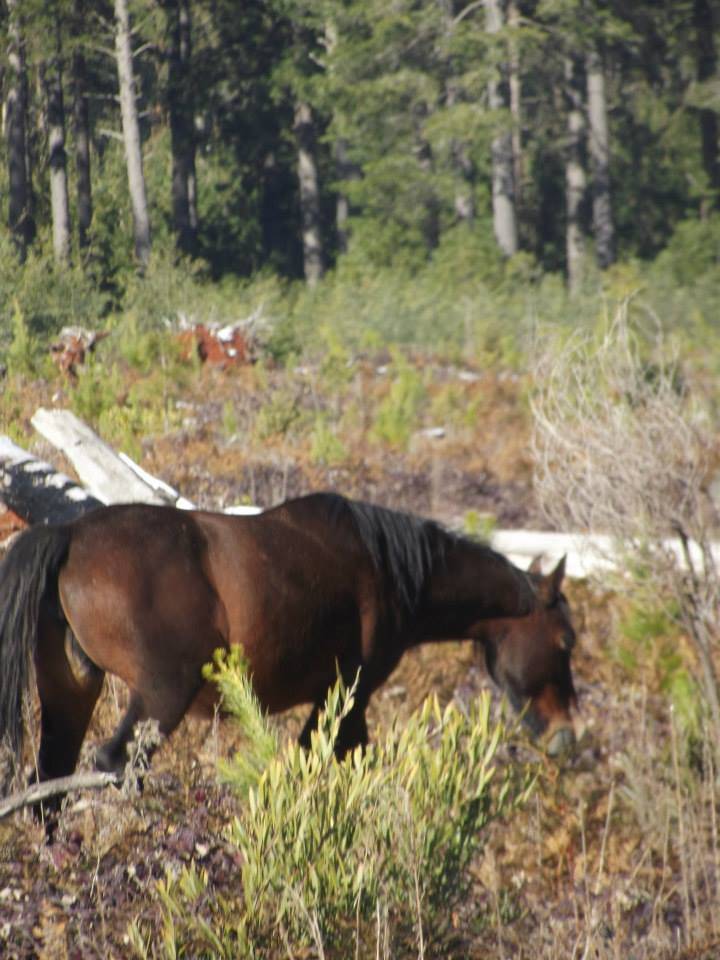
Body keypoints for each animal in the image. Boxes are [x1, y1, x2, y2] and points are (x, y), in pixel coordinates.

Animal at [0, 496, 576, 796]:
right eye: (565, 642)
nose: (566, 737)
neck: (387, 568)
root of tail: (71, 535)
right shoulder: (346, 697)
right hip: (164, 695)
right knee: (111, 765)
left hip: (71, 693)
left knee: (47, 780)